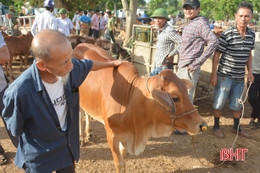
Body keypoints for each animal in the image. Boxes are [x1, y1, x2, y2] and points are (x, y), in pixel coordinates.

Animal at [72, 43, 207, 172]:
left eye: (186, 92)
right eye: (175, 98)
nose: (202, 124)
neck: (129, 99)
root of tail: (79, 45)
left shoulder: (126, 136)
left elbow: (123, 157)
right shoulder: (111, 135)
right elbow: (119, 163)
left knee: (88, 114)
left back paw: (89, 132)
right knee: (80, 117)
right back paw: (81, 138)